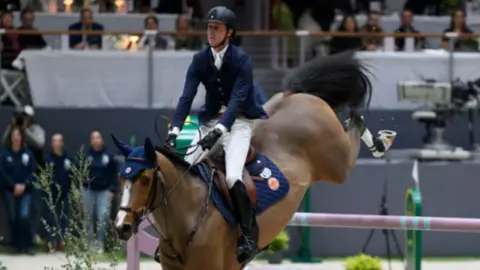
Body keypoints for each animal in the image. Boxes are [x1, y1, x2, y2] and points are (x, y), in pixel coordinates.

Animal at [112, 51, 386, 268]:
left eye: (146, 179)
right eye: (120, 179)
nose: (121, 227)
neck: (189, 214)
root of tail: (294, 95)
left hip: (336, 164)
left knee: (355, 124)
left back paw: (381, 142)